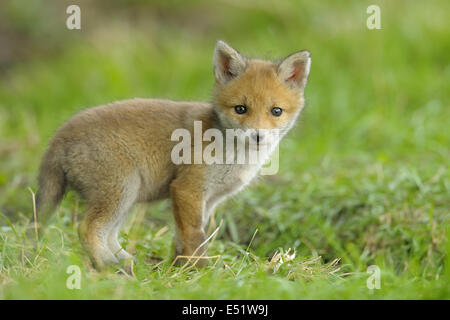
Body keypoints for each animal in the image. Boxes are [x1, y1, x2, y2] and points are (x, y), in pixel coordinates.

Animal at [37, 40, 312, 270]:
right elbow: (194, 235)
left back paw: (126, 261)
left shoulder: (209, 199)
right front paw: (199, 270)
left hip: (128, 194)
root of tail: (59, 134)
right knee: (87, 228)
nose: (257, 136)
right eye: (241, 109)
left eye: (276, 111)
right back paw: (108, 265)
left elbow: (184, 236)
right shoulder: (186, 188)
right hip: (121, 189)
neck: (234, 156)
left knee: (109, 233)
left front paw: (179, 267)